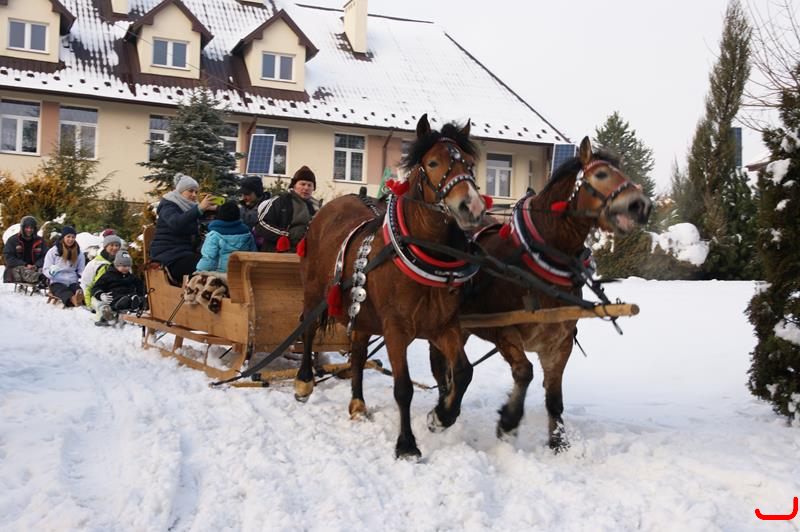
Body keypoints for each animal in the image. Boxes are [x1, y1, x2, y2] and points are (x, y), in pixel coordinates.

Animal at [295, 115, 487, 459]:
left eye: (469, 163)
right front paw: (407, 444)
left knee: (358, 353)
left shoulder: (443, 326)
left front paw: (441, 416)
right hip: (315, 292)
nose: (473, 207)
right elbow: (404, 387)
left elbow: (464, 372)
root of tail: (327, 208)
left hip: (361, 312)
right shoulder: (396, 329)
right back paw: (304, 382)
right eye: (433, 162)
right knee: (308, 329)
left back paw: (358, 403)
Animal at [430, 136, 652, 452]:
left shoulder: (559, 343)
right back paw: (443, 410)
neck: (538, 258)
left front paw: (558, 441)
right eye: (600, 174)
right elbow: (525, 372)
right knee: (441, 367)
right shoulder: (504, 331)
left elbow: (554, 396)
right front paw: (508, 421)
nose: (641, 205)